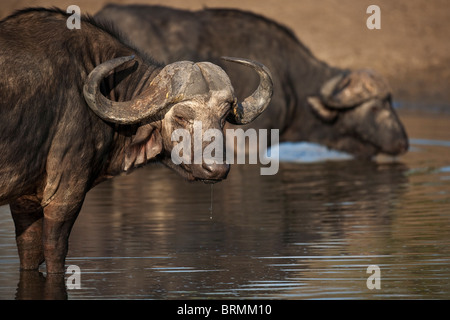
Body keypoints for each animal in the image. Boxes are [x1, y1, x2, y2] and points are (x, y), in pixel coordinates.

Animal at [0, 7, 272, 272]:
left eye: (224, 116)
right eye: (181, 116)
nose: (216, 169)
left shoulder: (25, 202)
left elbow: (30, 252)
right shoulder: (63, 194)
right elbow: (55, 251)